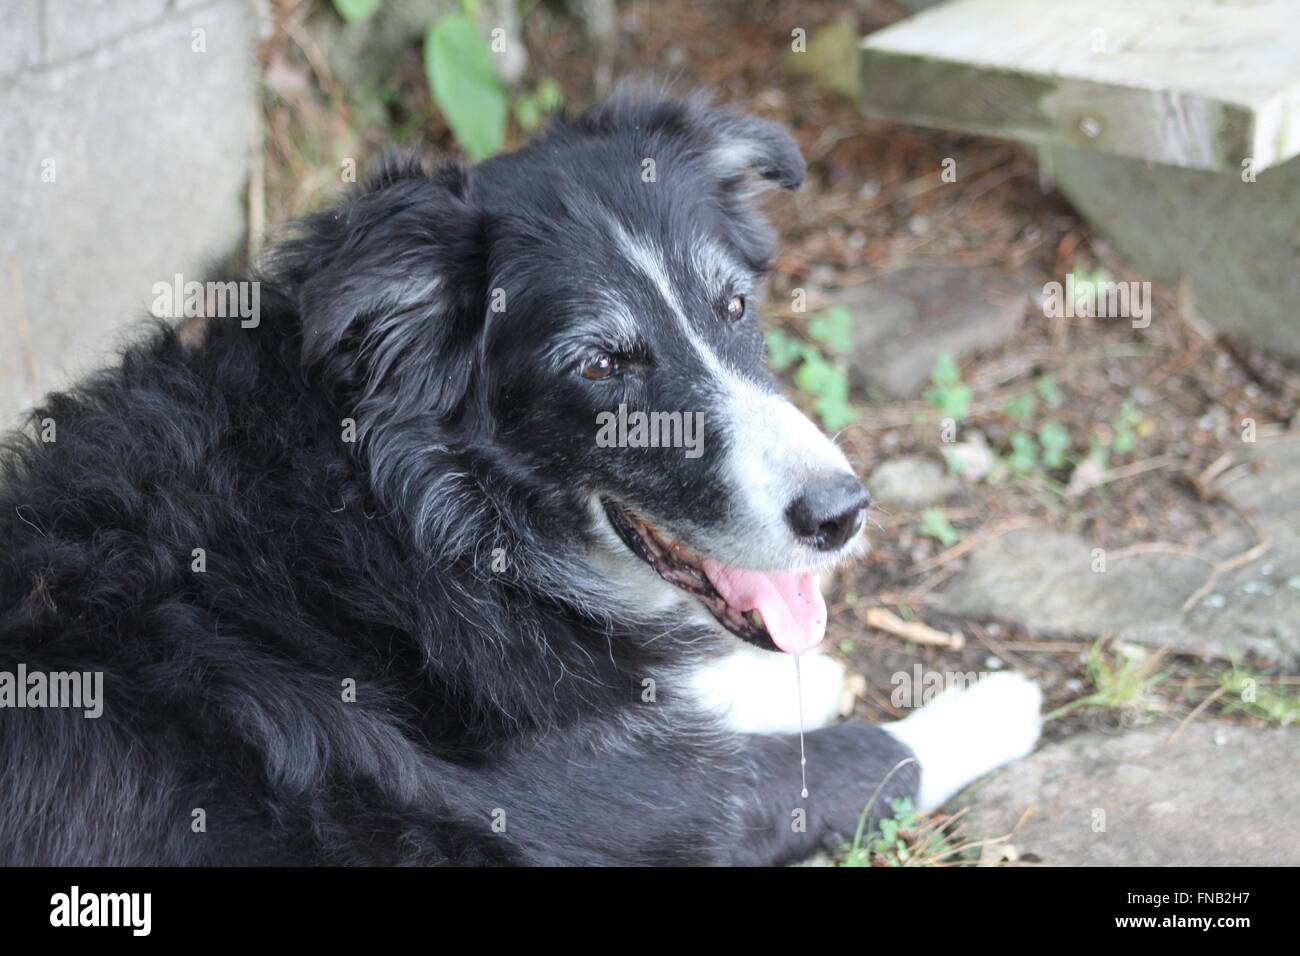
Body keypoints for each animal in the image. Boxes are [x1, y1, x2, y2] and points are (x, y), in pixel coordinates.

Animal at [0, 91, 1034, 868]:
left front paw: (792, 676)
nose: (842, 515)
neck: (407, 529)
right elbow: (861, 761)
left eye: (736, 306)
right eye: (600, 366)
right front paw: (993, 703)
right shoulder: (649, 810)